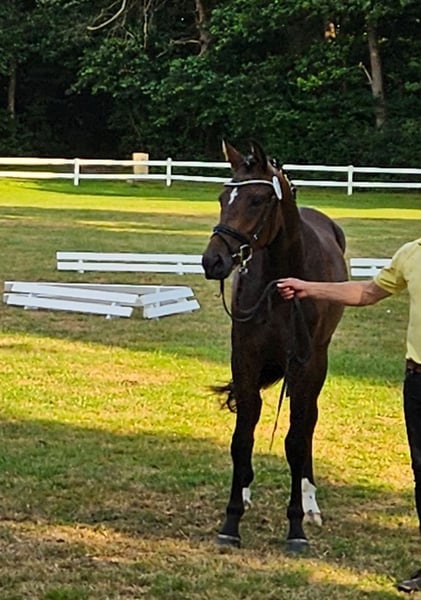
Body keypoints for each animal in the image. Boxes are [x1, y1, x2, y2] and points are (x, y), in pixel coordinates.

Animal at [201, 140, 347, 551]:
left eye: (256, 201)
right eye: (223, 198)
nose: (212, 261)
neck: (280, 282)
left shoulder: (303, 365)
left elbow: (296, 441)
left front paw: (296, 526)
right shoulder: (245, 360)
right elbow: (242, 436)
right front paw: (231, 520)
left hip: (316, 367)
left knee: (308, 423)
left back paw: (310, 503)